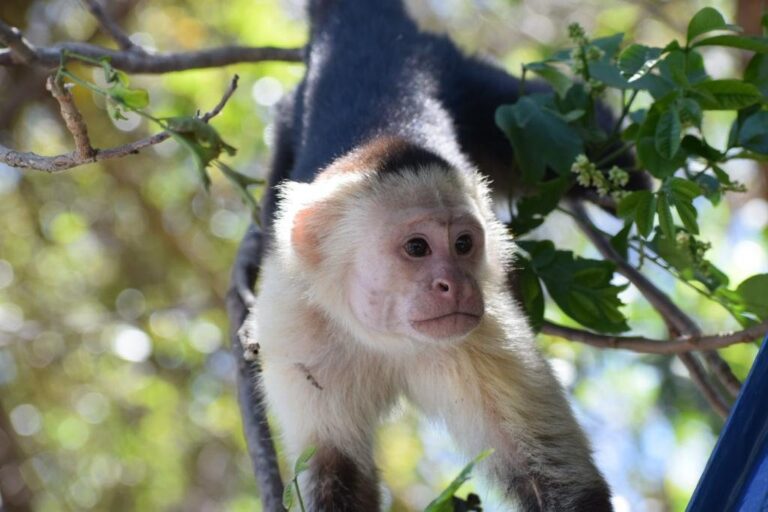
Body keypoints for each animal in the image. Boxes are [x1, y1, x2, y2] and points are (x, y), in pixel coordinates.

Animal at [242, 0, 615, 510]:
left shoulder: (485, 332)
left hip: (457, 73)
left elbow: (559, 477)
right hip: (287, 118)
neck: (386, 338)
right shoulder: (297, 329)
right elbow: (332, 468)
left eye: (463, 245)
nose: (453, 283)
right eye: (417, 248)